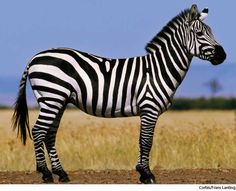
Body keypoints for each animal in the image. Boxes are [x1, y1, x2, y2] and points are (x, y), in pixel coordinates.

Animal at [12, 4, 225, 184]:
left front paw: (141, 172)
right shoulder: (150, 108)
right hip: (52, 97)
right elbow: (146, 141)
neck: (159, 69)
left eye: (212, 32)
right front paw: (147, 175)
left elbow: (141, 140)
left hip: (58, 101)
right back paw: (45, 174)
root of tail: (35, 57)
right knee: (38, 131)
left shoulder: (145, 111)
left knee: (49, 134)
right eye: (199, 33)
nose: (223, 56)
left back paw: (61, 174)